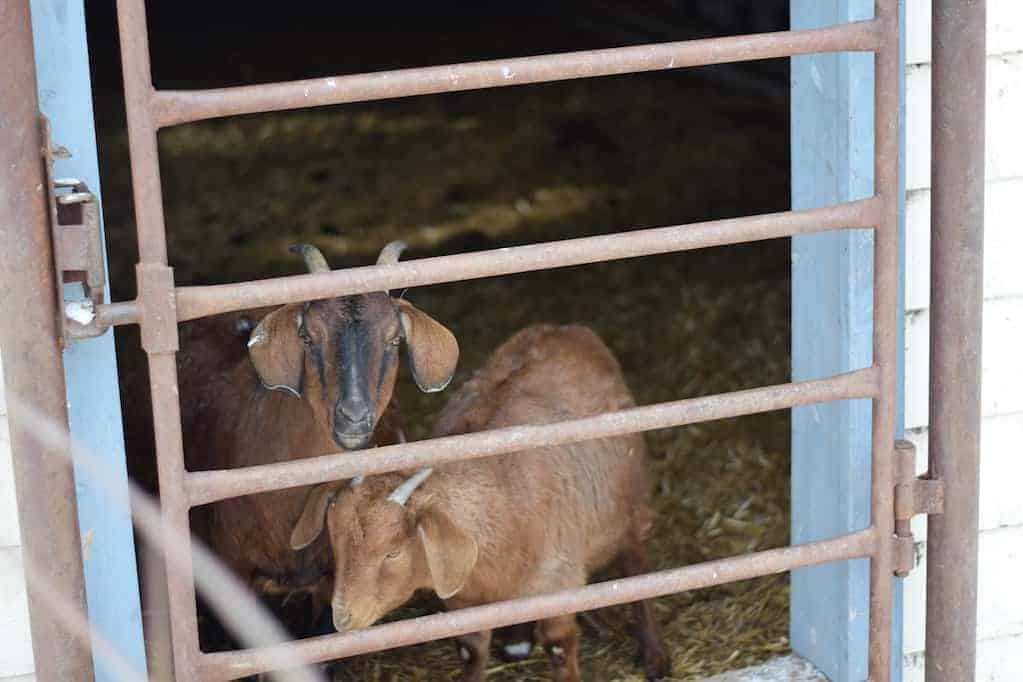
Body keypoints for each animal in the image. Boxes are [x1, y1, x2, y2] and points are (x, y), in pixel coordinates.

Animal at [290, 327, 671, 682]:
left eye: (392, 553)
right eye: (336, 545)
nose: (342, 618)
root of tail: (568, 330)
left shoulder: (557, 587)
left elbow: (561, 650)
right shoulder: (464, 602)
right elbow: (471, 653)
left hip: (630, 504)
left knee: (637, 567)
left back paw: (654, 655)